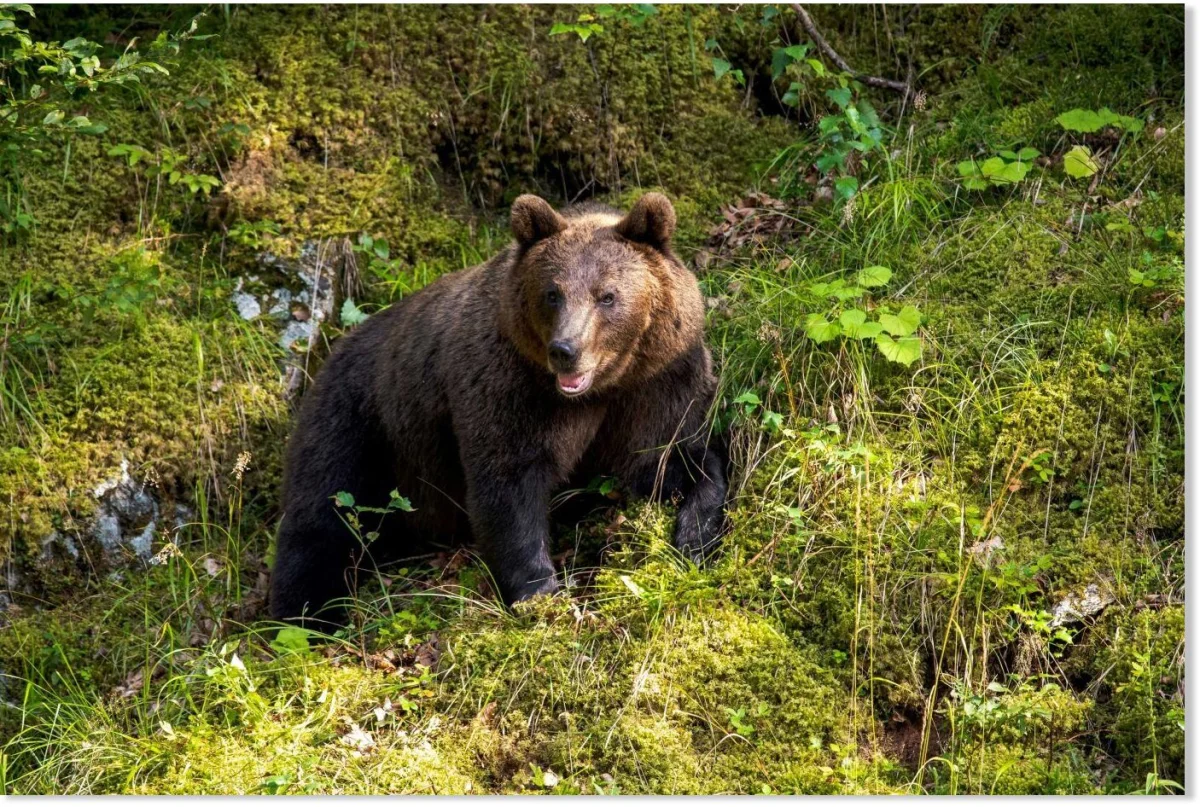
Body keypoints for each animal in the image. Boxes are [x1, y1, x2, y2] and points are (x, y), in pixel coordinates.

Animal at [269, 192, 727, 625]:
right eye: (552, 293)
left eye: (607, 296)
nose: (565, 350)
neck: (600, 389)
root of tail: (336, 348)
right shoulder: (510, 387)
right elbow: (509, 484)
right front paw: (540, 593)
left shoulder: (655, 384)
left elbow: (667, 459)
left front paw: (694, 537)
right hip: (359, 419)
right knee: (323, 513)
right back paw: (308, 614)